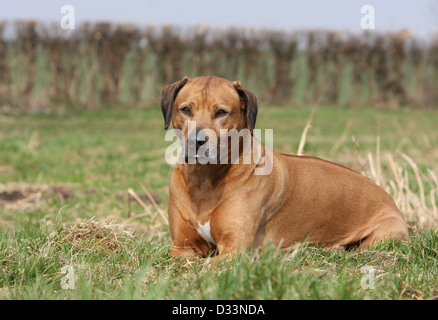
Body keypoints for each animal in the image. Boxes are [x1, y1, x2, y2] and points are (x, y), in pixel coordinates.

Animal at [161, 75, 410, 258]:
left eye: (221, 112)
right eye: (185, 109)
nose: (196, 141)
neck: (204, 180)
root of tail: (390, 199)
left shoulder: (235, 249)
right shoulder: (182, 246)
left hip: (384, 234)